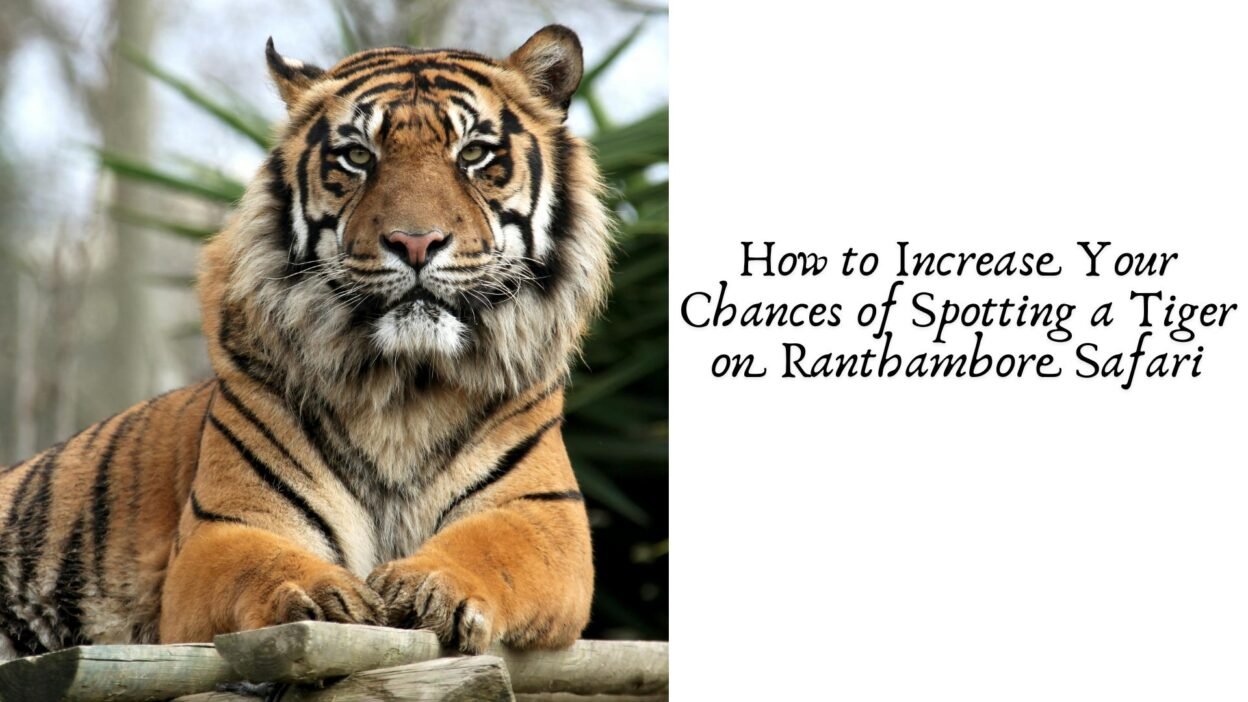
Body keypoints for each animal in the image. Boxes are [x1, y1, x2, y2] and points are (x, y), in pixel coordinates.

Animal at [0, 24, 611, 660]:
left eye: (473, 154)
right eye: (358, 156)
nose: (415, 242)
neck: (407, 387)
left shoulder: (541, 514)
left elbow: (490, 547)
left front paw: (428, 586)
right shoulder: (227, 527)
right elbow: (260, 565)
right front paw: (325, 598)